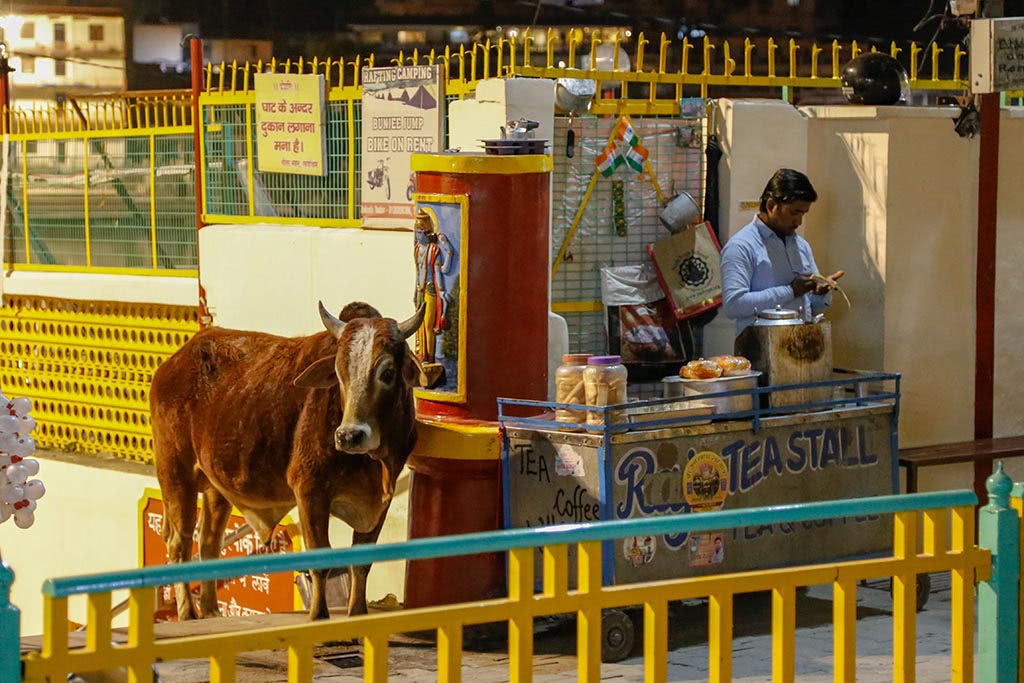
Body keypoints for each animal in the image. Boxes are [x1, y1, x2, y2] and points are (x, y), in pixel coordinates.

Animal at [149, 299, 421, 618]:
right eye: (339, 373)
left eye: (387, 373)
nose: (349, 436)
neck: (373, 464)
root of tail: (175, 361)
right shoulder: (310, 490)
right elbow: (320, 560)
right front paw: (319, 616)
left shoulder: (381, 501)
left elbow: (362, 563)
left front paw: (357, 613)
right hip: (175, 472)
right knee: (178, 543)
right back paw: (189, 613)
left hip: (216, 485)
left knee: (208, 543)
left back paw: (211, 610)